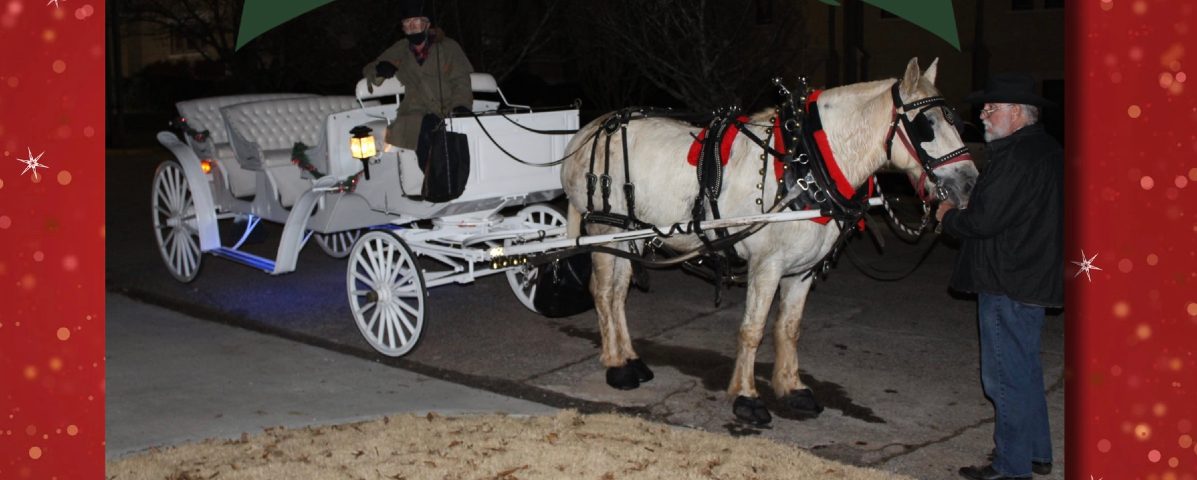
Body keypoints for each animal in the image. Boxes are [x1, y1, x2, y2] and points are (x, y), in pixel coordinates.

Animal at [560, 57, 971, 423]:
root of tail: (586, 131)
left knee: (619, 292)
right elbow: (753, 330)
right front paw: (746, 397)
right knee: (603, 292)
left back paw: (630, 358)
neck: (807, 165)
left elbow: (788, 328)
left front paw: (792, 388)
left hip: (629, 234)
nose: (968, 183)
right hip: (604, 230)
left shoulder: (802, 269)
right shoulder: (767, 265)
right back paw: (616, 365)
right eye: (927, 125)